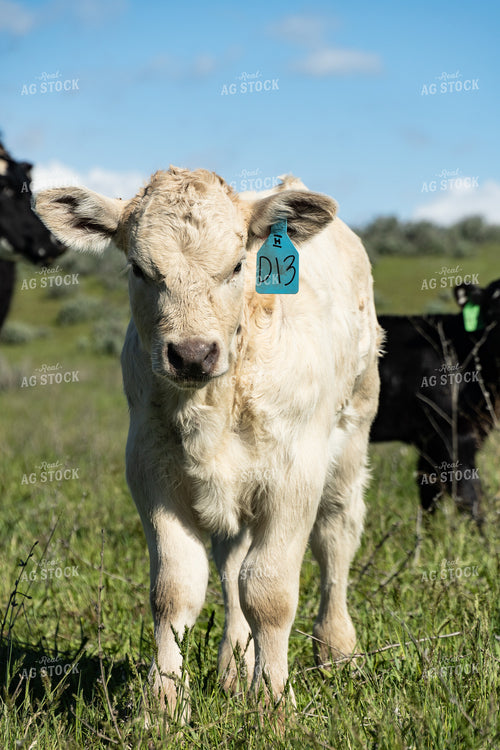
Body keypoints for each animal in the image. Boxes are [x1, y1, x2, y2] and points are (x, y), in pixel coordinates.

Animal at [34, 168, 381, 722]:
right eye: (139, 268)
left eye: (238, 264)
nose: (193, 354)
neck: (211, 406)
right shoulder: (152, 473)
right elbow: (175, 591)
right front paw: (163, 706)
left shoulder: (294, 478)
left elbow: (270, 592)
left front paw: (274, 703)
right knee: (232, 567)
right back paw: (234, 669)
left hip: (350, 438)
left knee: (335, 539)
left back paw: (337, 650)